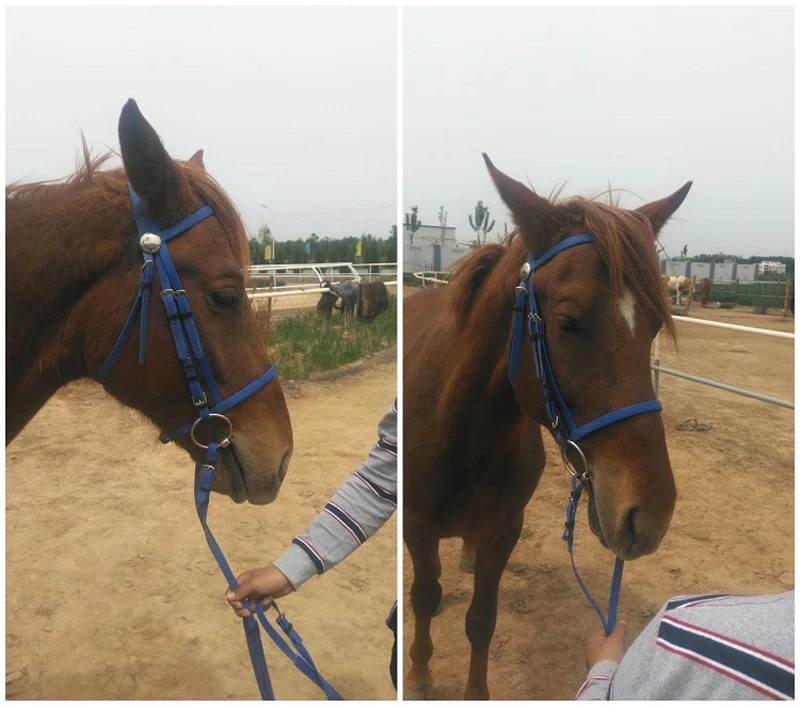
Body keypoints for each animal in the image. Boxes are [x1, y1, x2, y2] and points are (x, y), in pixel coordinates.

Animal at [404, 155, 692, 700]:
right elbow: (425, 598)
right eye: (567, 322)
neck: (462, 434)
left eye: (651, 325)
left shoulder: (504, 530)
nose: (651, 513)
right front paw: (420, 675)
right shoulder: (416, 526)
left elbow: (482, 621)